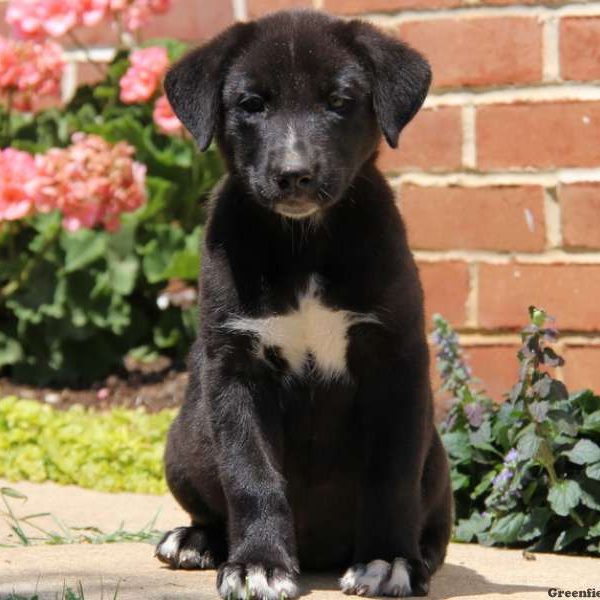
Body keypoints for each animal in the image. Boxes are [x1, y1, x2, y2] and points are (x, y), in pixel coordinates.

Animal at [157, 10, 452, 600]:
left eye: (338, 100)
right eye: (251, 104)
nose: (295, 175)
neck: (305, 243)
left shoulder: (396, 362)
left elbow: (392, 473)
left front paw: (387, 561)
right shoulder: (236, 368)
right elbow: (250, 474)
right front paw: (258, 564)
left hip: (437, 458)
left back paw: (421, 557)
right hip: (185, 440)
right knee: (212, 502)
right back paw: (196, 540)